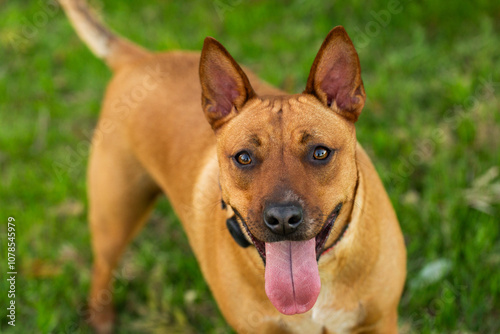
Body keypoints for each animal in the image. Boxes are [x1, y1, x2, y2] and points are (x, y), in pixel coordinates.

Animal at [60, 0, 406, 334]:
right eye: (243, 158)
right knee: (102, 265)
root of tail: (141, 59)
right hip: (115, 214)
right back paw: (102, 317)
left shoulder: (380, 322)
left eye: (320, 153)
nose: (283, 219)